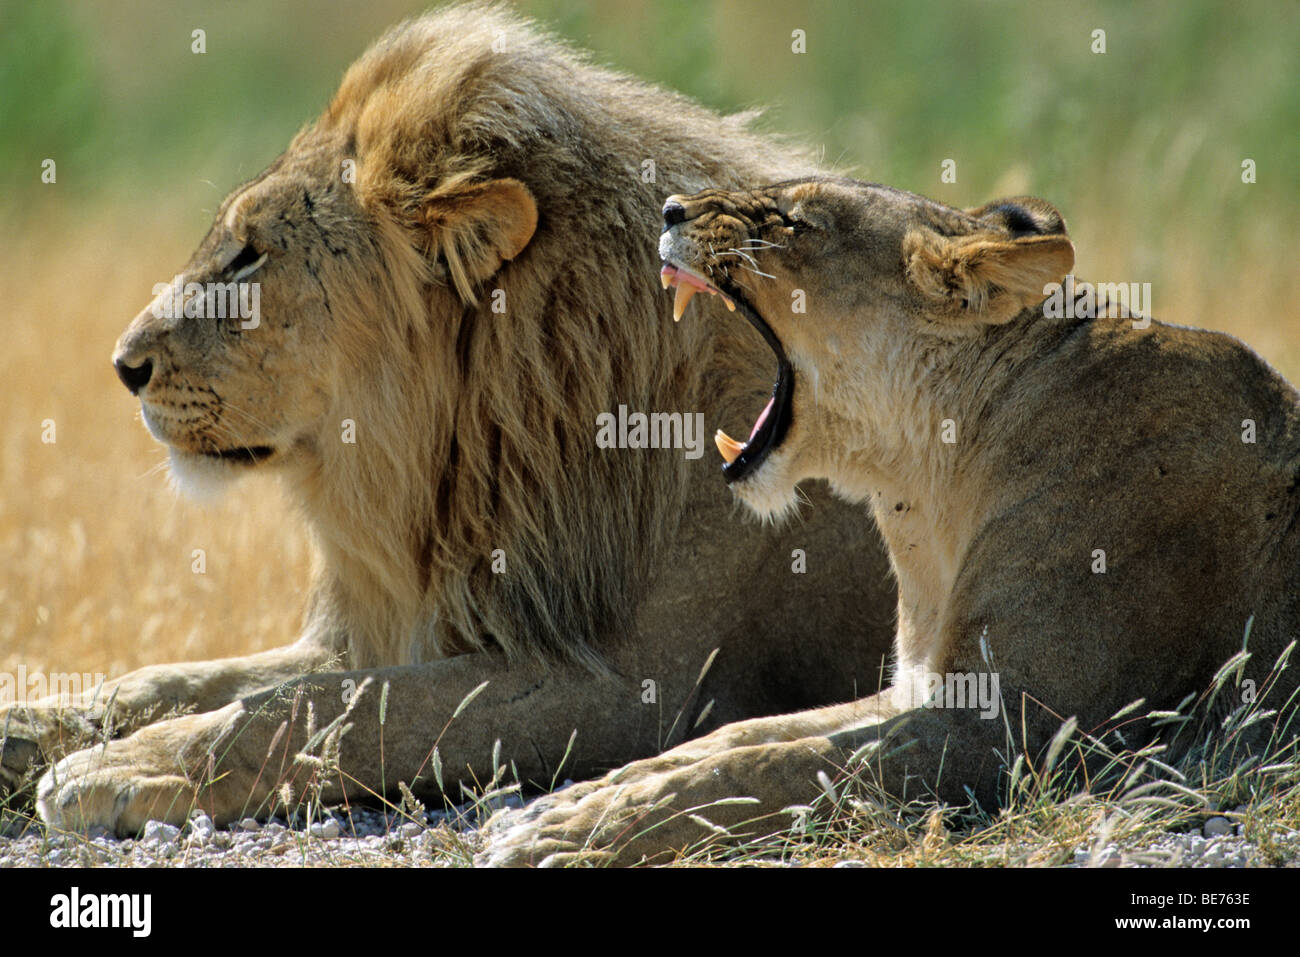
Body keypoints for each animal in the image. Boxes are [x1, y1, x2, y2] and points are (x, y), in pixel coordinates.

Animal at [0, 10, 901, 833]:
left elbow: (323, 708)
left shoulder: (644, 683)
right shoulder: (393, 623)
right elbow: (175, 680)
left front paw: (122, 768)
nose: (123, 364)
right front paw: (30, 727)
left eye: (250, 252)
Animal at [477, 177, 1300, 866]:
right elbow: (740, 735)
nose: (671, 207)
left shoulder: (1007, 734)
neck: (929, 490)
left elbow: (776, 765)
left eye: (791, 221)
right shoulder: (917, 686)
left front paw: (575, 834)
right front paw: (578, 799)